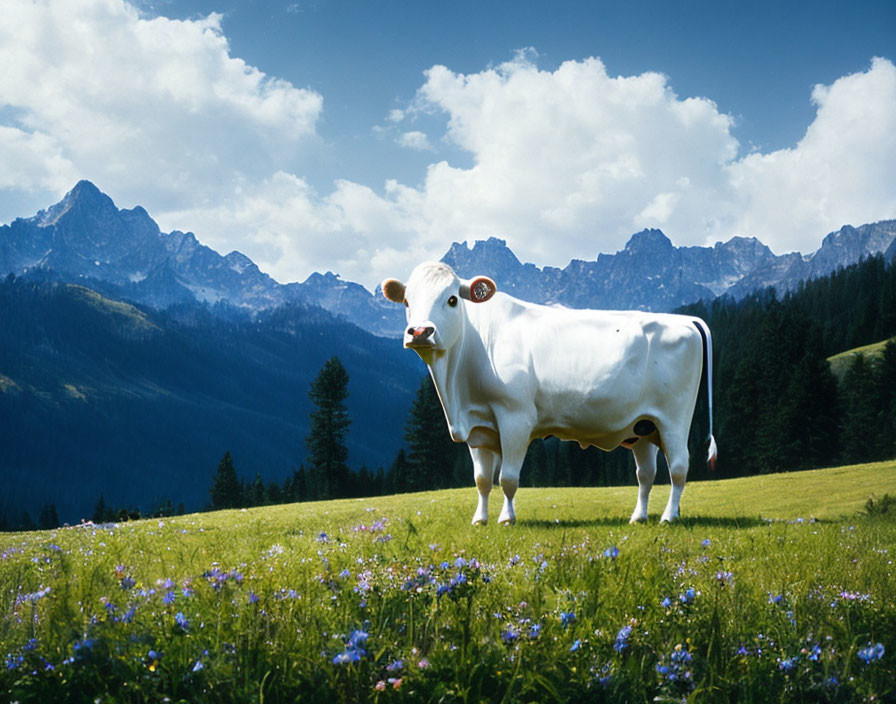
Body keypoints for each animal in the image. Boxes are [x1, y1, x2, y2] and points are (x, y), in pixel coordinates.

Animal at [382, 262, 716, 524]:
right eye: (407, 301)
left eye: (452, 299)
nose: (420, 332)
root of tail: (683, 320)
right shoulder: (478, 426)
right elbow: (481, 480)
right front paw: (480, 519)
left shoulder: (516, 417)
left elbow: (508, 478)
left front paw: (506, 518)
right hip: (643, 426)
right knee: (646, 474)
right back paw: (638, 517)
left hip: (675, 420)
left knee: (679, 467)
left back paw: (668, 516)